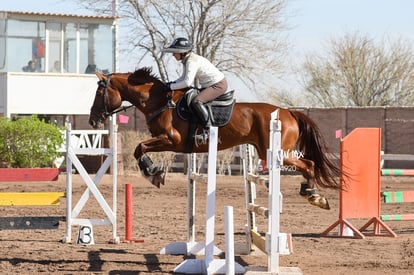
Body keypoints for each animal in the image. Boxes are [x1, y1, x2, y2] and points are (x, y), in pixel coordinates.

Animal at [90, 68, 340, 210]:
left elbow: (139, 148)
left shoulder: (171, 140)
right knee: (308, 164)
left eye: (99, 92)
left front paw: (154, 174)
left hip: (277, 153)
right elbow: (139, 149)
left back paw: (314, 195)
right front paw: (154, 173)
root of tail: (289, 112)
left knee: (309, 164)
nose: (93, 120)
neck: (160, 102)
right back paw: (310, 192)